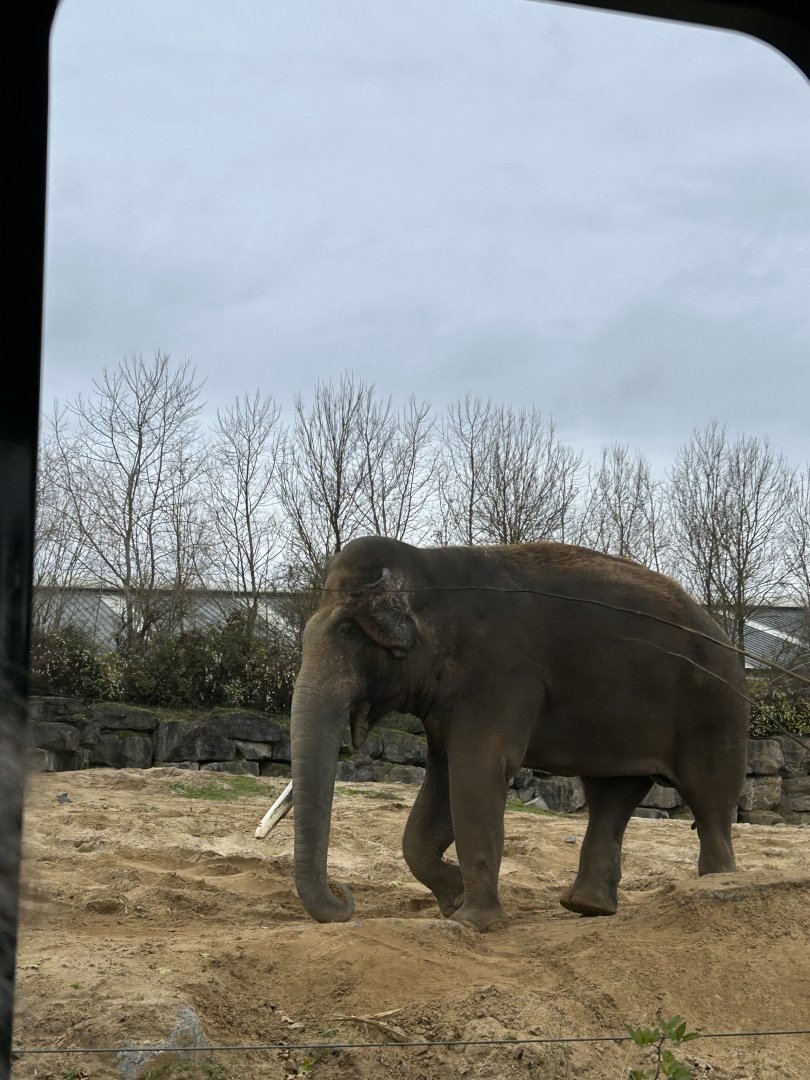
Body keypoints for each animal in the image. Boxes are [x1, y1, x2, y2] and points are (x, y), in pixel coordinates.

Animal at [290, 535, 749, 930]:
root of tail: (725, 635)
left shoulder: (501, 676)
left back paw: (716, 890)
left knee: (709, 801)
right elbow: (441, 782)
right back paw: (587, 907)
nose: (343, 894)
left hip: (715, 711)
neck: (429, 569)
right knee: (612, 794)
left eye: (349, 633)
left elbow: (477, 771)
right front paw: (455, 901)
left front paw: (471, 921)